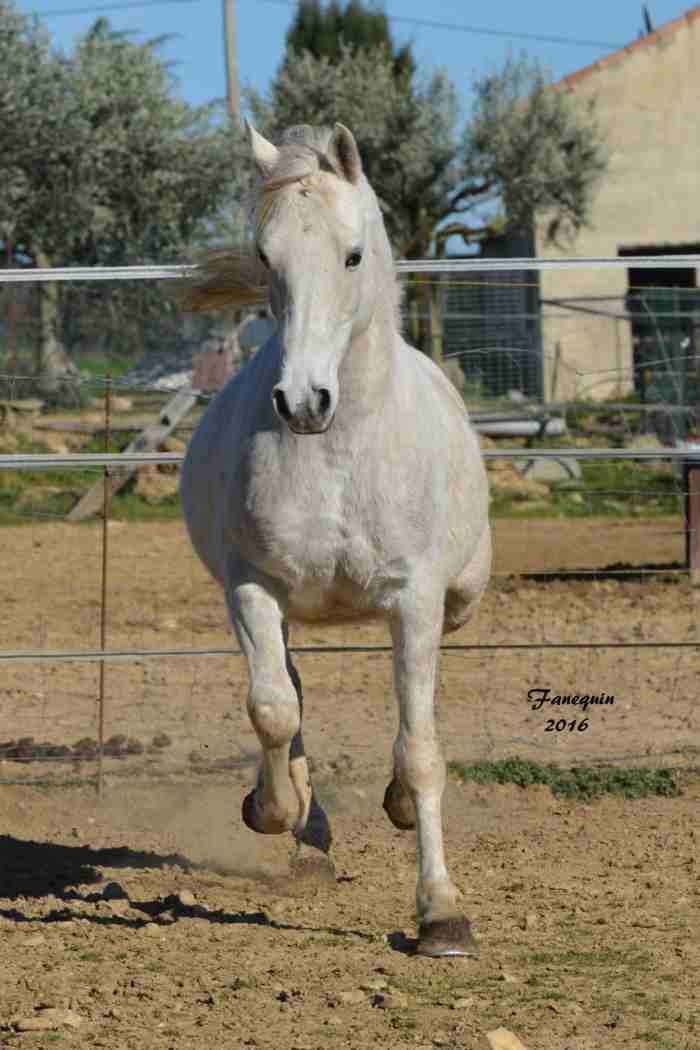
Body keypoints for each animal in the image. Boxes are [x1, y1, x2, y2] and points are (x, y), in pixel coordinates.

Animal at [178, 122, 491, 961]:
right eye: (266, 257)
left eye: (352, 255)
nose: (302, 401)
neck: (341, 451)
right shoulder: (251, 586)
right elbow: (272, 711)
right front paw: (276, 810)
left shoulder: (415, 601)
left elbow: (420, 747)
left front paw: (440, 913)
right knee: (289, 693)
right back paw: (302, 822)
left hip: (457, 600)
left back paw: (395, 808)